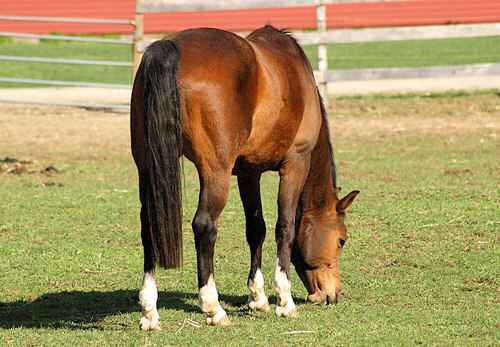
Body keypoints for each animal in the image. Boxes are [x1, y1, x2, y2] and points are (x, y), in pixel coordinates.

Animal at [131, 25, 358, 330]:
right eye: (342, 240)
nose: (331, 295)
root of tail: (170, 48)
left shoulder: (249, 172)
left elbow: (256, 228)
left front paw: (258, 297)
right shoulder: (295, 163)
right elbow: (285, 228)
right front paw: (284, 301)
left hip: (147, 167)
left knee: (149, 225)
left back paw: (149, 311)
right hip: (215, 172)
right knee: (204, 225)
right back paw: (213, 308)